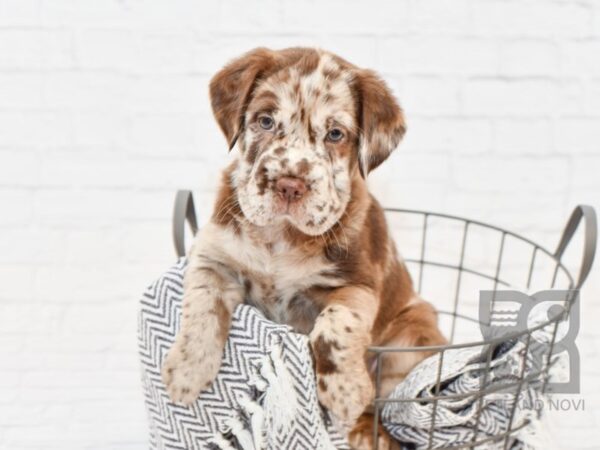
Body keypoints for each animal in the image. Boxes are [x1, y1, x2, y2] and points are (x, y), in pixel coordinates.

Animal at [162, 47, 448, 448]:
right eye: (266, 121)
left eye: (335, 133)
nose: (289, 185)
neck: (280, 238)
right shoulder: (213, 259)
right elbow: (201, 307)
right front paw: (186, 371)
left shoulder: (357, 283)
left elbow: (336, 325)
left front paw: (345, 392)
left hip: (410, 340)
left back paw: (367, 430)